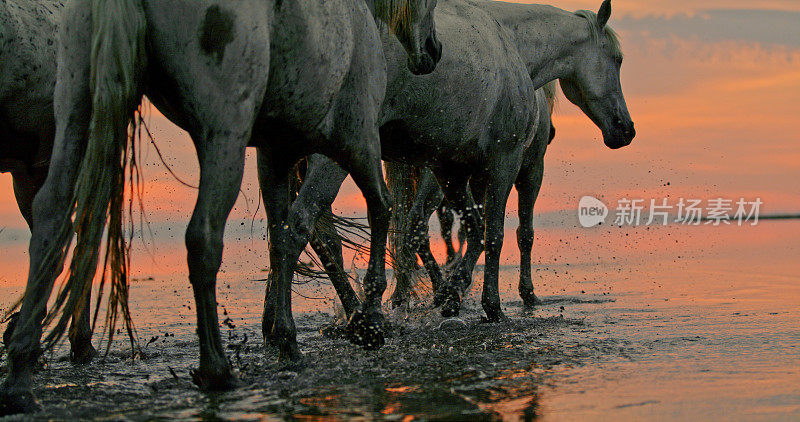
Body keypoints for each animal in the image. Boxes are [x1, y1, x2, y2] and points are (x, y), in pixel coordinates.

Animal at [0, 0, 440, 414]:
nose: (434, 51)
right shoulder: (356, 135)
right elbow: (379, 208)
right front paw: (370, 320)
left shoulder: (275, 153)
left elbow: (284, 237)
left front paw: (285, 338)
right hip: (224, 135)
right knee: (203, 236)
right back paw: (216, 368)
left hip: (76, 113)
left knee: (51, 219)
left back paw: (21, 375)